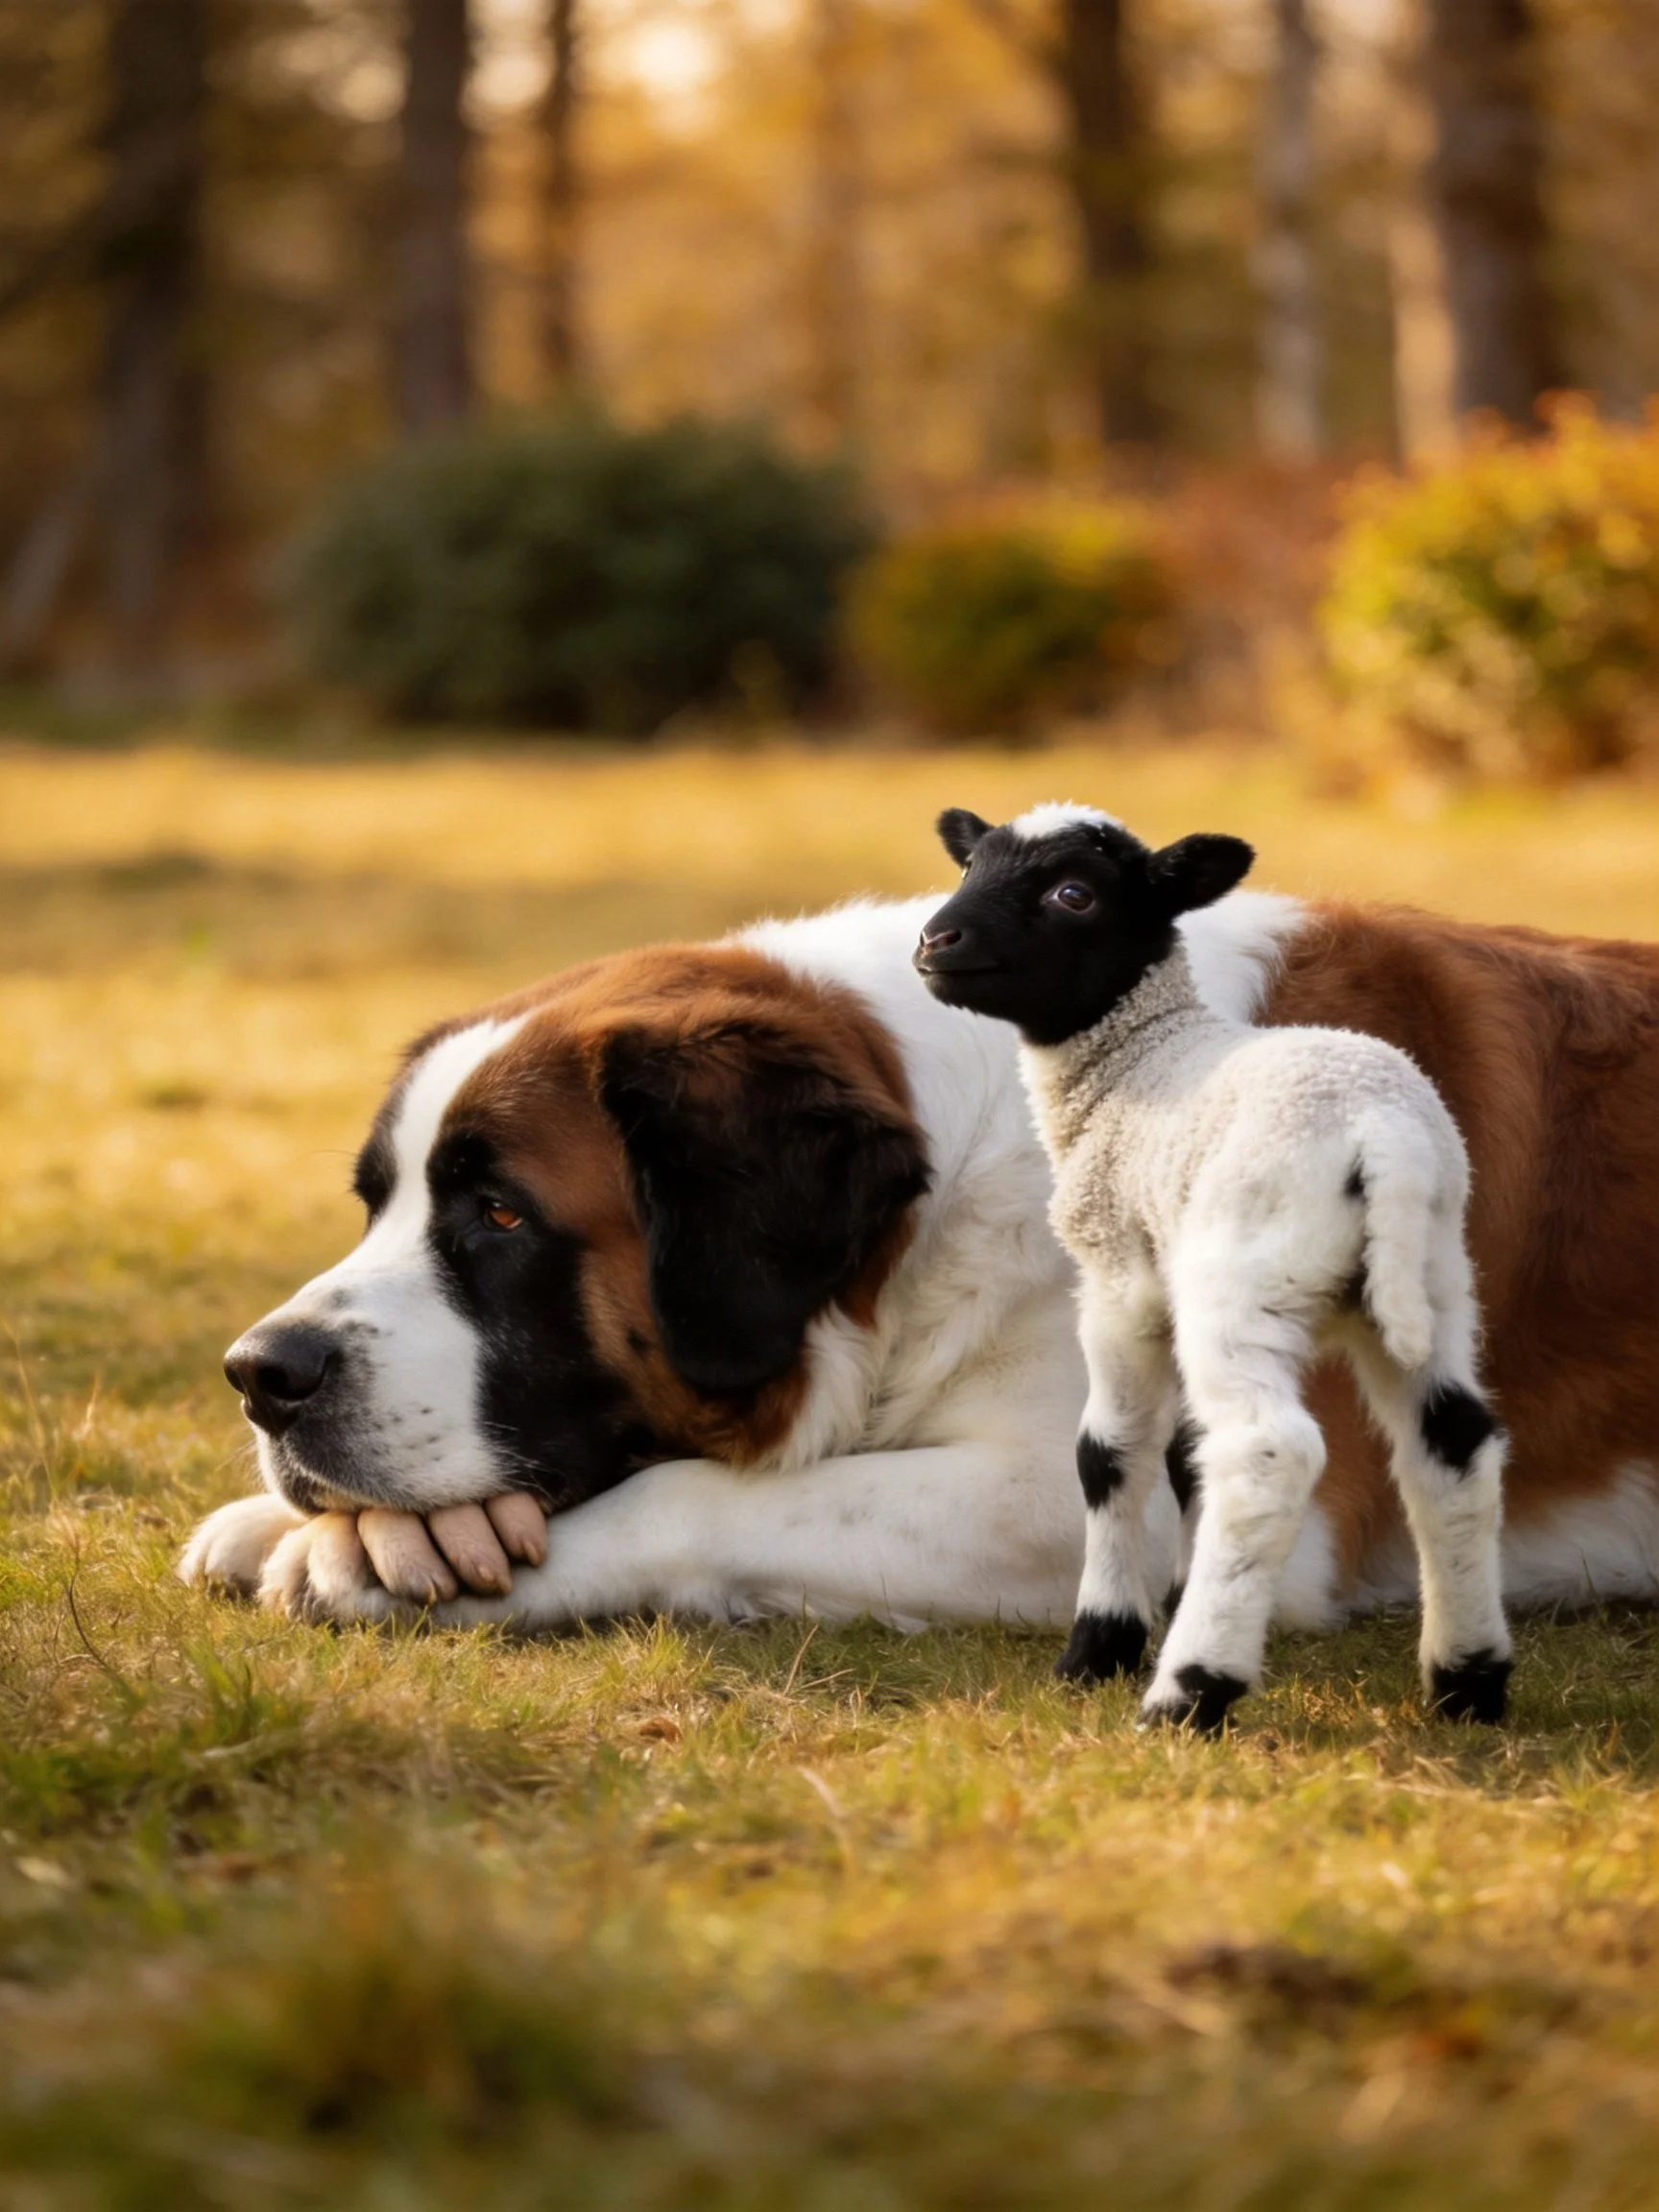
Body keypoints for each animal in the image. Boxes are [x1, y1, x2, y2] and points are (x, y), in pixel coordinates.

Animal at [913, 801, 1512, 1733]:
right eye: (973, 865)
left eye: (1073, 894)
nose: (936, 941)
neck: (1139, 1055)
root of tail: (1382, 1137)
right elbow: (1182, 1456)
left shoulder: (1119, 1283)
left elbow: (1108, 1455)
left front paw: (1102, 1647)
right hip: (1433, 1283)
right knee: (1453, 1447)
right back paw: (1468, 1682)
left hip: (1243, 1279)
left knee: (1268, 1455)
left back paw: (1191, 1691)